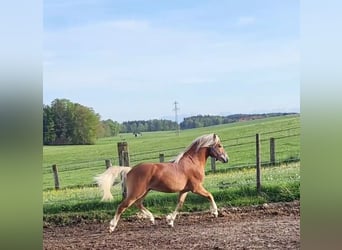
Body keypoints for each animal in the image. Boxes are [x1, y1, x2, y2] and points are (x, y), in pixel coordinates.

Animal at [95, 133, 228, 232]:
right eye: (219, 145)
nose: (226, 159)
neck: (192, 162)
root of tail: (130, 170)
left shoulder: (184, 190)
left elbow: (179, 204)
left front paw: (170, 221)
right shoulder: (196, 188)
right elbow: (210, 195)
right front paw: (215, 212)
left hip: (144, 192)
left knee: (138, 204)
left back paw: (152, 219)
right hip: (136, 192)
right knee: (122, 206)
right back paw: (112, 227)